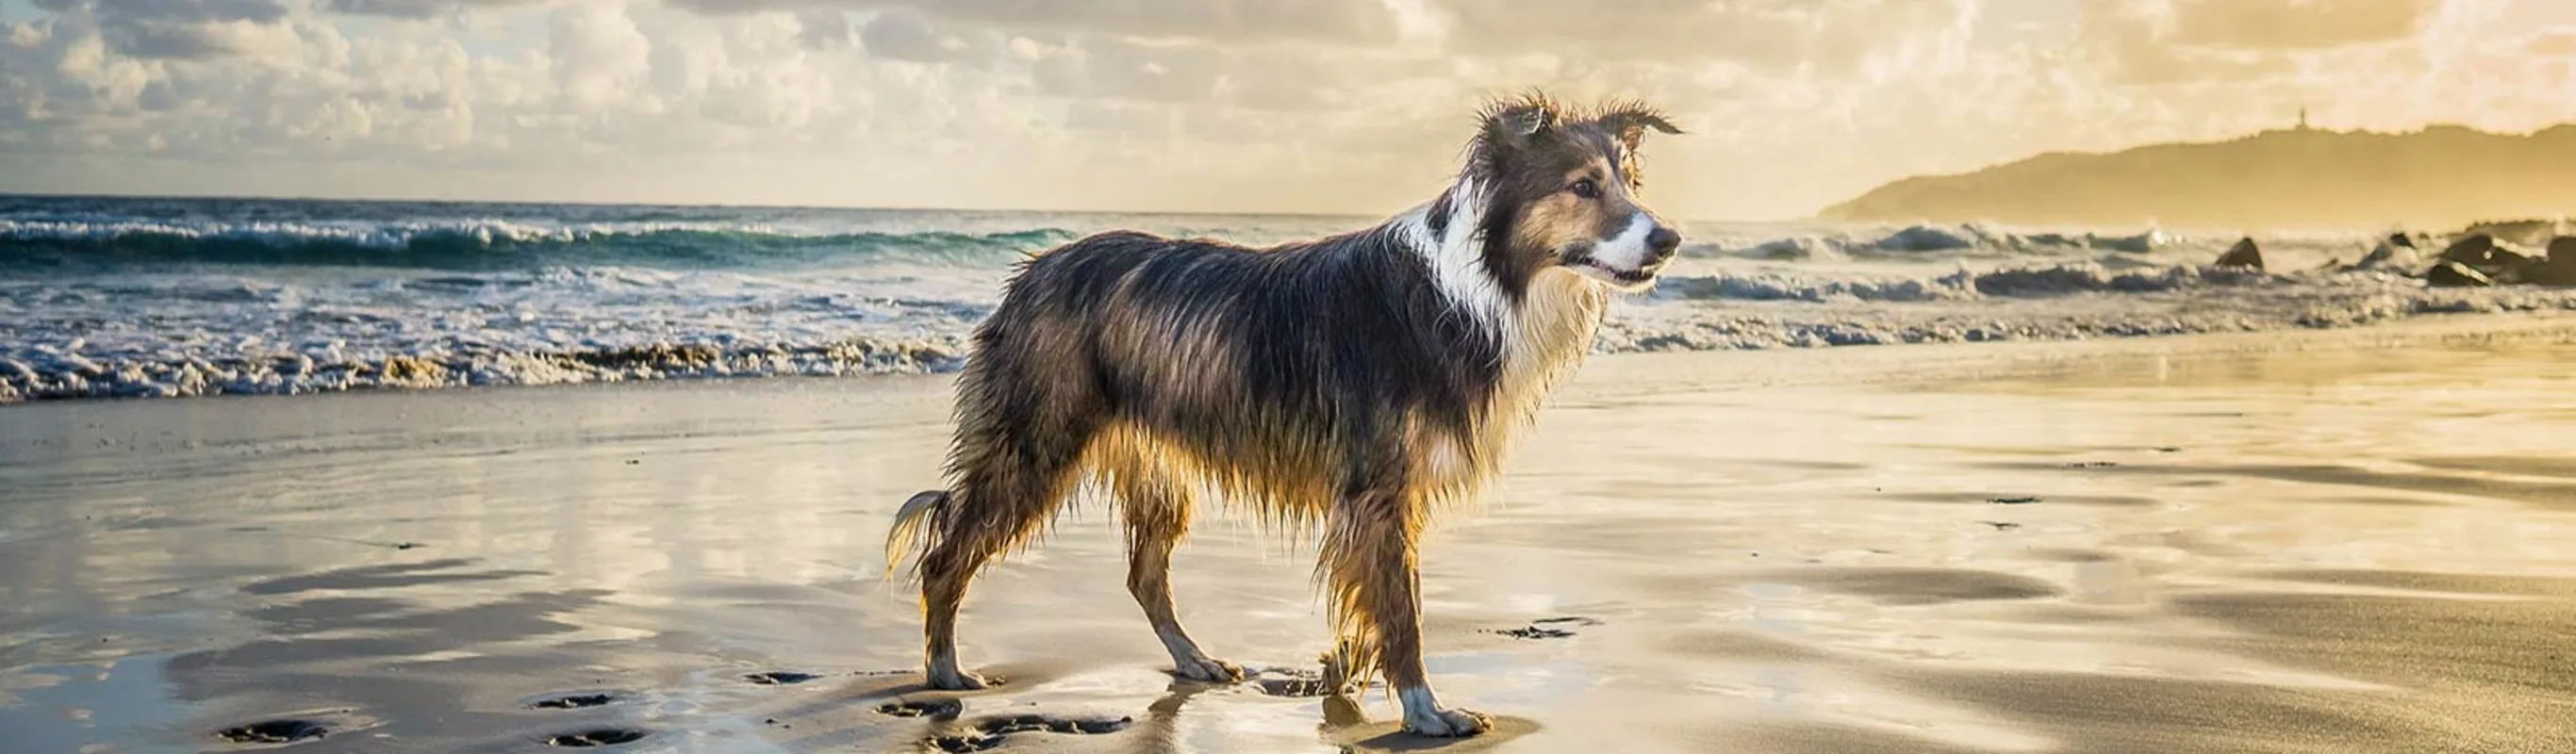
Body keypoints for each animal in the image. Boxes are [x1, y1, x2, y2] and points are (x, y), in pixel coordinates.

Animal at [885, 93, 1690, 735]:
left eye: (1628, 182)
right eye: (1582, 187)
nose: (1669, 239)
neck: (1476, 287)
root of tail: (1034, 272)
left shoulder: (1383, 499)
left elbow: (1377, 601)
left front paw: (1342, 674)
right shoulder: (1377, 487)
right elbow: (1402, 610)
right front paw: (1426, 711)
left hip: (1155, 465)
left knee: (1145, 578)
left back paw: (1196, 663)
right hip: (1035, 441)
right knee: (946, 554)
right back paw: (947, 671)